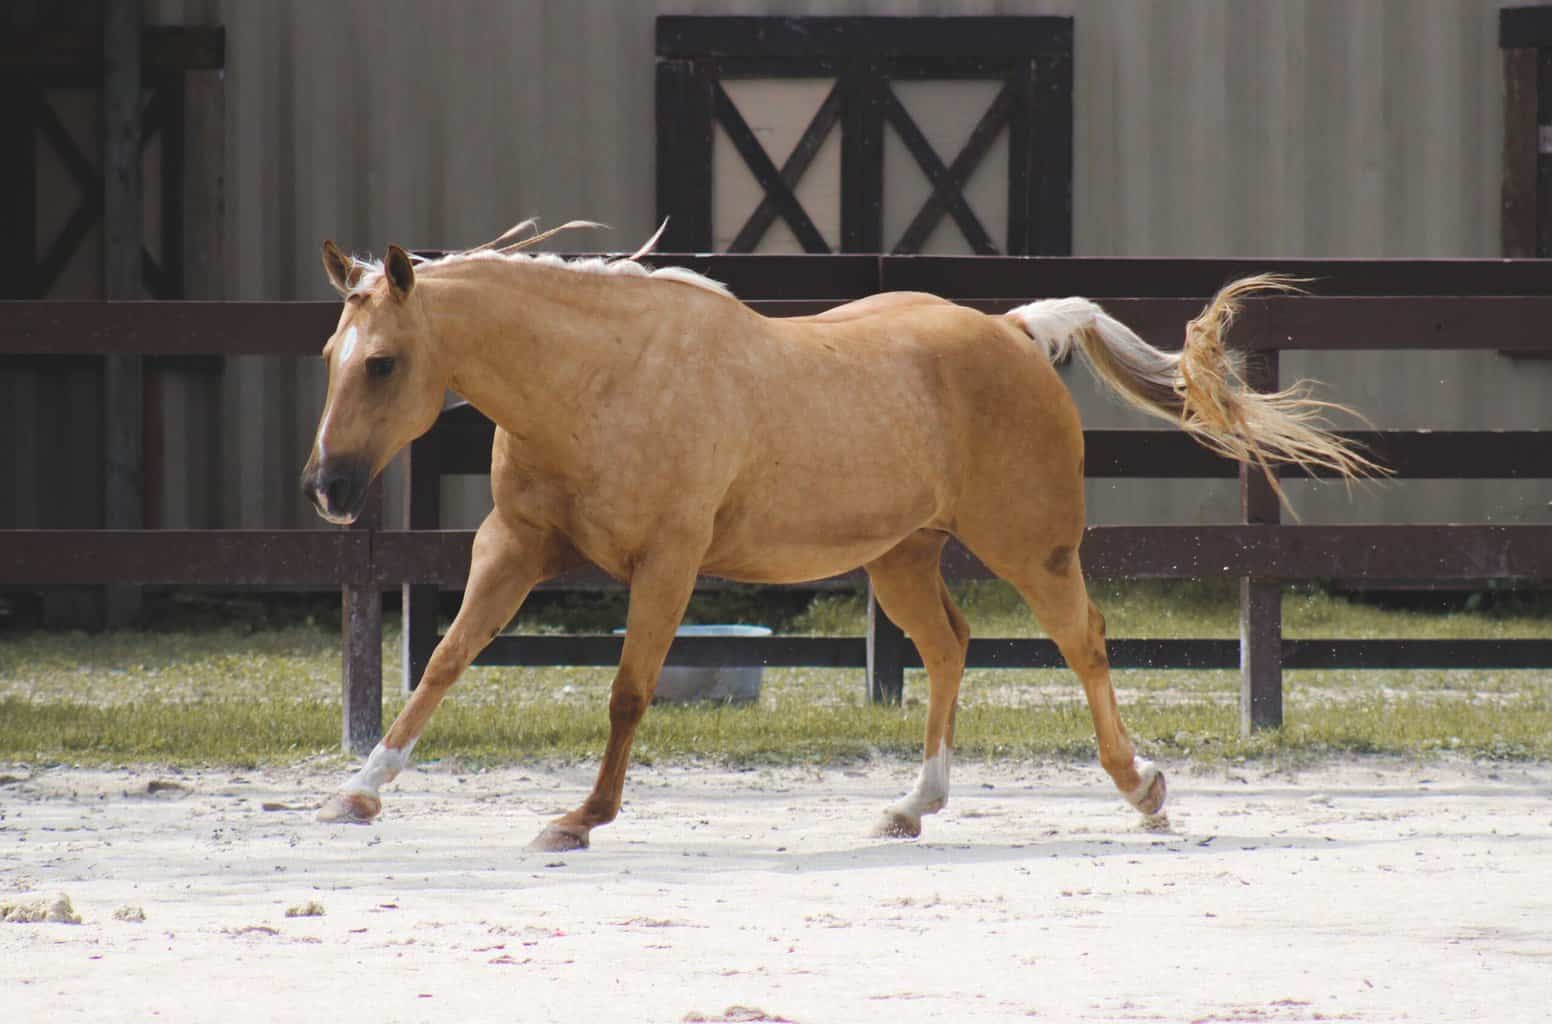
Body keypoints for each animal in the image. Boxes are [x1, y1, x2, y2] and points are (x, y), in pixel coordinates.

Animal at [302, 228, 1371, 850]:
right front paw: (359, 791)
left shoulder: (668, 564)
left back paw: (1141, 789)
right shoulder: (512, 547)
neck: (601, 378)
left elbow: (627, 693)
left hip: (1030, 547)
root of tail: (1014, 331)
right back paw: (912, 806)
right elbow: (441, 662)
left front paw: (579, 818)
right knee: (949, 646)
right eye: (330, 355)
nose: (328, 489)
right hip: (901, 557)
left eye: (384, 362)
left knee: (1084, 642)